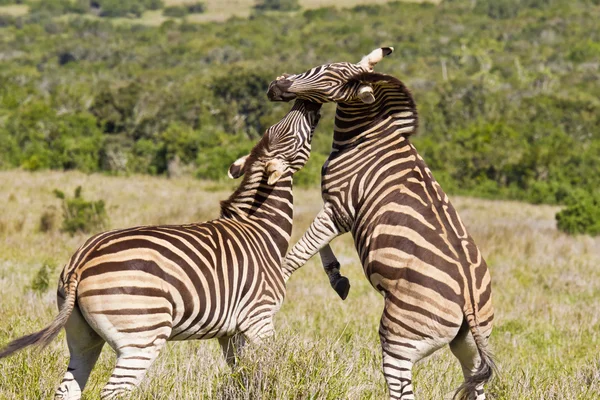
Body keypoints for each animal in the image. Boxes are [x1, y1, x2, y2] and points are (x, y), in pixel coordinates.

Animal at [0, 99, 324, 400]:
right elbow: (268, 369)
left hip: (81, 335)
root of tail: (82, 261)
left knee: (68, 388)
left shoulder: (231, 330)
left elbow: (245, 375)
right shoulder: (260, 317)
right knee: (114, 392)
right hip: (141, 336)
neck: (260, 228)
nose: (308, 102)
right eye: (289, 132)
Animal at [264, 49, 494, 400]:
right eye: (321, 66)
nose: (275, 86)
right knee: (475, 383)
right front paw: (337, 278)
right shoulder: (336, 208)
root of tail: (468, 297)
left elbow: (303, 247)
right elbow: (317, 244)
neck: (367, 135)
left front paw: (280, 276)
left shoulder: (340, 208)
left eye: (330, 82)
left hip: (400, 339)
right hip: (468, 344)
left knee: (402, 389)